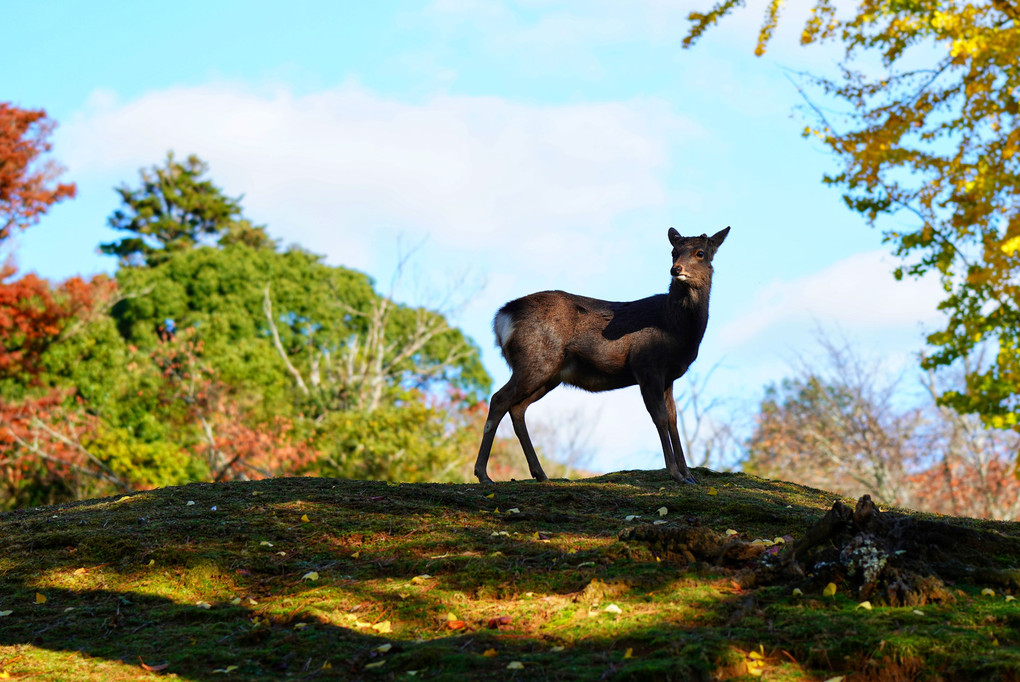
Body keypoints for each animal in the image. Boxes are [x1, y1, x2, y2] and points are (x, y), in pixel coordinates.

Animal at [473, 227, 730, 483]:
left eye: (700, 253)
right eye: (673, 252)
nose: (676, 269)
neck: (673, 329)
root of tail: (501, 318)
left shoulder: (668, 376)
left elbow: (674, 419)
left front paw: (688, 475)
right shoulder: (646, 366)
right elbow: (661, 417)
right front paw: (675, 474)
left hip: (550, 374)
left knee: (517, 408)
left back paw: (540, 474)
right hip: (534, 361)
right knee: (499, 399)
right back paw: (483, 474)